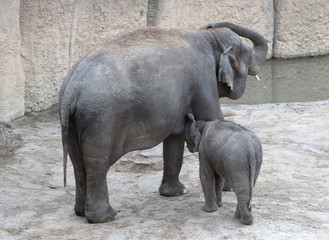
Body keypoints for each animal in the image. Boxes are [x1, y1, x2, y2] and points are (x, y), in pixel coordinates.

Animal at [58, 22, 266, 223]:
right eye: (248, 55)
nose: (211, 24)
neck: (207, 38)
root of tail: (72, 88)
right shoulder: (203, 82)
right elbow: (214, 118)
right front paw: (227, 188)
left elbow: (174, 140)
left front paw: (175, 193)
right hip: (101, 119)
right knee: (97, 163)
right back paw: (106, 217)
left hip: (75, 121)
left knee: (78, 163)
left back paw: (81, 212)